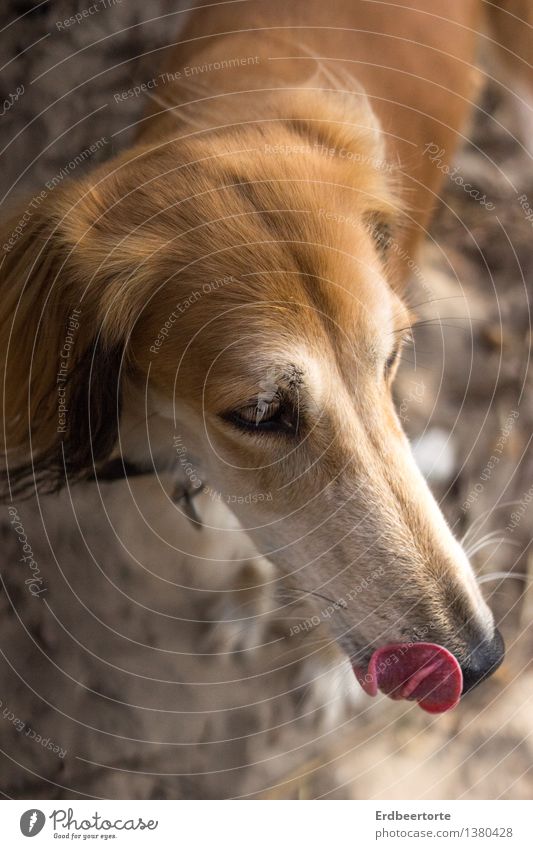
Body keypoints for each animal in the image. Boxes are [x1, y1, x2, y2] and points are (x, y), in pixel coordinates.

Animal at [3, 0, 528, 712]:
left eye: (391, 358)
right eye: (258, 413)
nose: (481, 661)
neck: (232, 106)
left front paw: (324, 668)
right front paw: (249, 603)